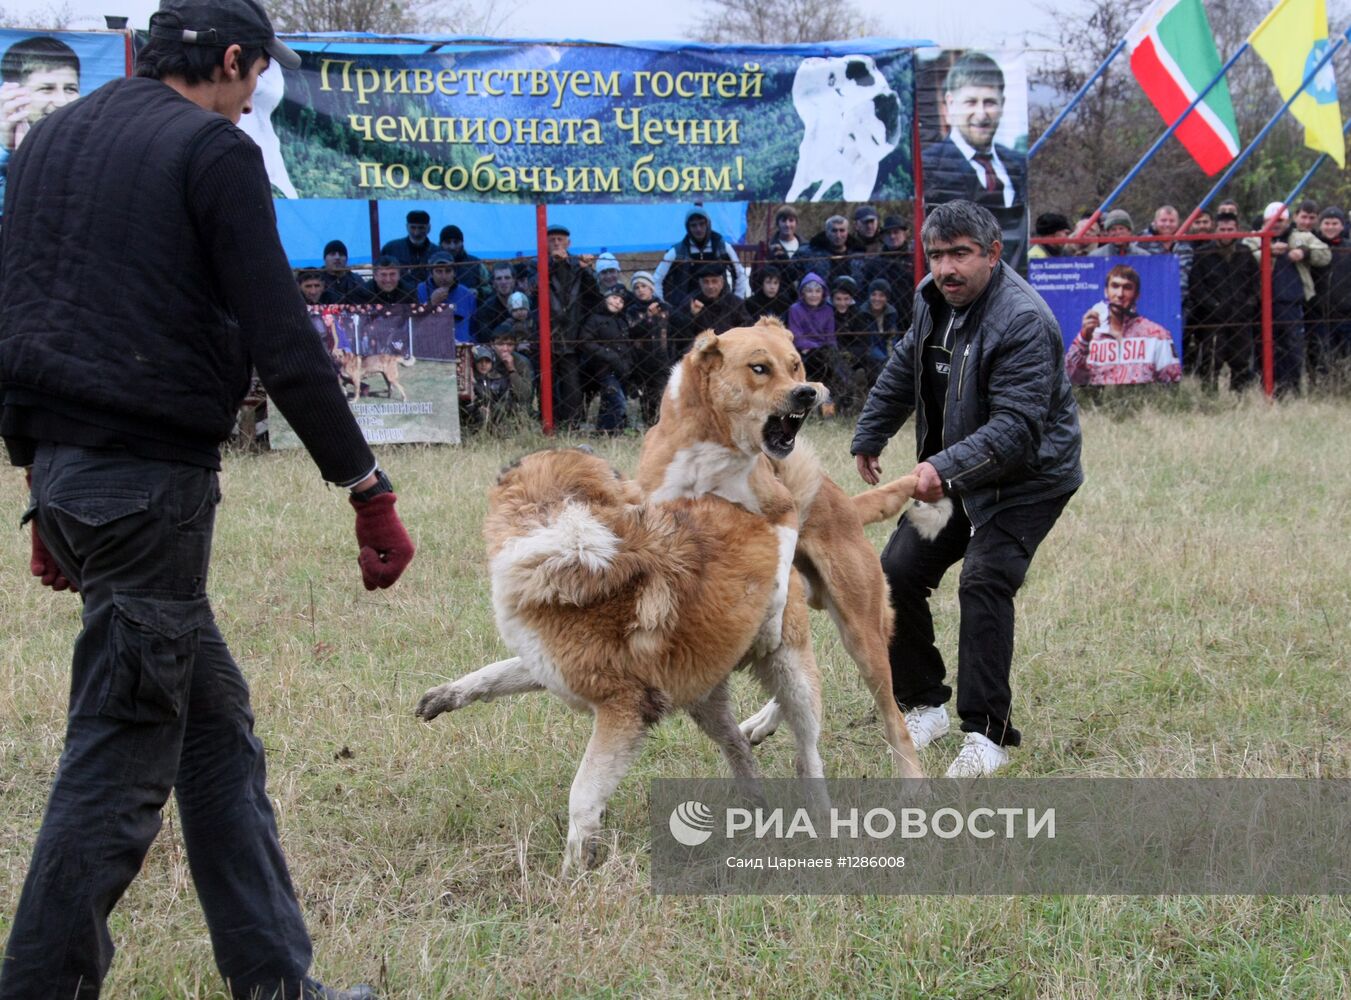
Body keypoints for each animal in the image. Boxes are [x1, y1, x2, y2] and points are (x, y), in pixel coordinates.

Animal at [416, 445, 826, 875]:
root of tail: (767, 521)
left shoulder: (623, 707)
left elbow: (583, 791)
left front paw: (577, 863)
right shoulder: (549, 665)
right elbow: (493, 675)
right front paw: (444, 696)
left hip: (788, 669)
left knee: (807, 748)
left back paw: (816, 812)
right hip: (704, 695)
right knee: (738, 745)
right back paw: (752, 798)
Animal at [637, 320, 956, 783]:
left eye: (795, 365)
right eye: (759, 368)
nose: (807, 392)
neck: (713, 444)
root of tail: (848, 505)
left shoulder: (780, 508)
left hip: (862, 634)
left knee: (890, 716)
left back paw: (913, 783)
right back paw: (765, 719)